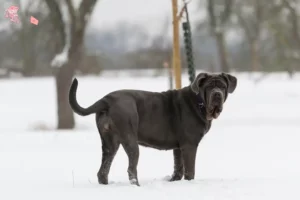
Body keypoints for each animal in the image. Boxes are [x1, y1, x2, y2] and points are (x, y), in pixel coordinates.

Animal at [68, 72, 237, 186]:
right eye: (209, 87)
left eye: (222, 86)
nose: (217, 94)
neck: (199, 102)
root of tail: (106, 100)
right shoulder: (189, 145)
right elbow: (190, 170)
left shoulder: (178, 147)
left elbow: (178, 167)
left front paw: (174, 181)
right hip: (130, 139)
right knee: (131, 168)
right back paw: (136, 186)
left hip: (110, 142)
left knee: (103, 170)